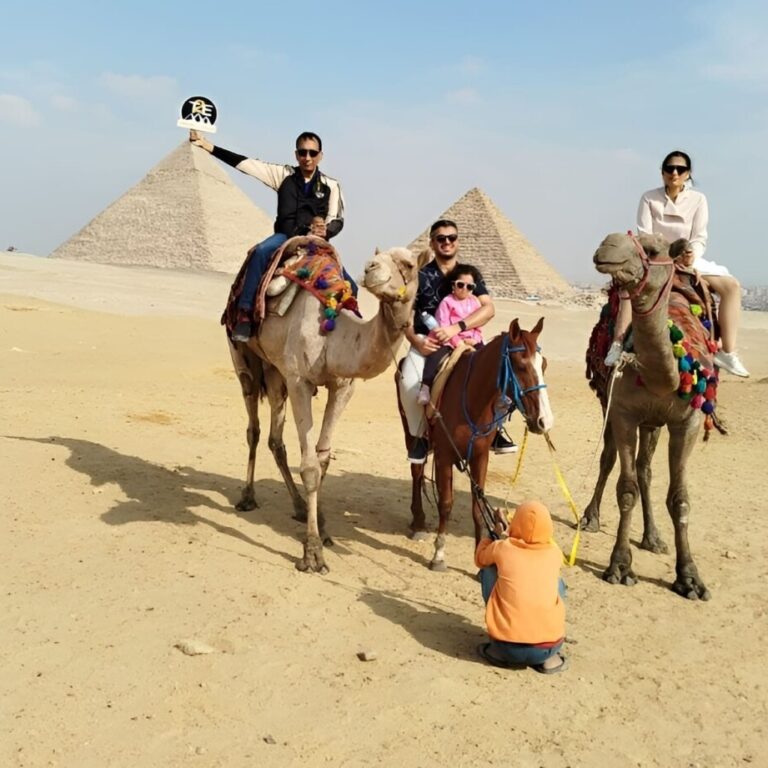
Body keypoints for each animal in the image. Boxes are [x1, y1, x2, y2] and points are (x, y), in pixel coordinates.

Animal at [228, 243, 420, 572]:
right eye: (376, 257)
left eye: (409, 264)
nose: (371, 269)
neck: (334, 336)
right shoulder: (299, 381)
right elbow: (309, 466)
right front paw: (312, 553)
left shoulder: (343, 387)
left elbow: (323, 459)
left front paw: (323, 526)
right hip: (244, 358)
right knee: (253, 427)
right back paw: (248, 497)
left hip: (274, 370)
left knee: (275, 439)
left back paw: (298, 505)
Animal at [396, 318, 552, 568]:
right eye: (520, 365)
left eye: (543, 365)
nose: (545, 421)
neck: (472, 398)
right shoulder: (444, 456)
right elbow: (446, 503)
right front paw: (439, 554)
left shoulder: (480, 456)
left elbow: (477, 506)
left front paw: (481, 555)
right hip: (410, 431)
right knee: (417, 470)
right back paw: (418, 521)